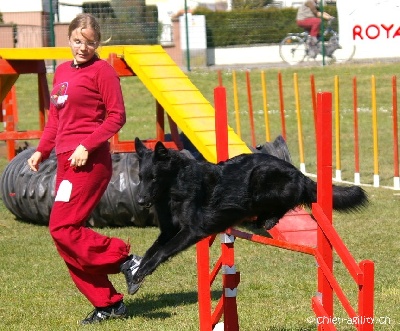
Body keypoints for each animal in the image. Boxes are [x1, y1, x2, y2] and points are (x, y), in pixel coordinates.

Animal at [132, 137, 368, 286]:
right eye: (141, 177)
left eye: (154, 177)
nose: (141, 201)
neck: (174, 186)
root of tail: (299, 174)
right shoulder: (168, 231)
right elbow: (152, 250)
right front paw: (138, 271)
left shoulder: (192, 230)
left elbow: (163, 251)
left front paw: (142, 272)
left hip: (261, 178)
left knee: (291, 200)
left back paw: (269, 219)